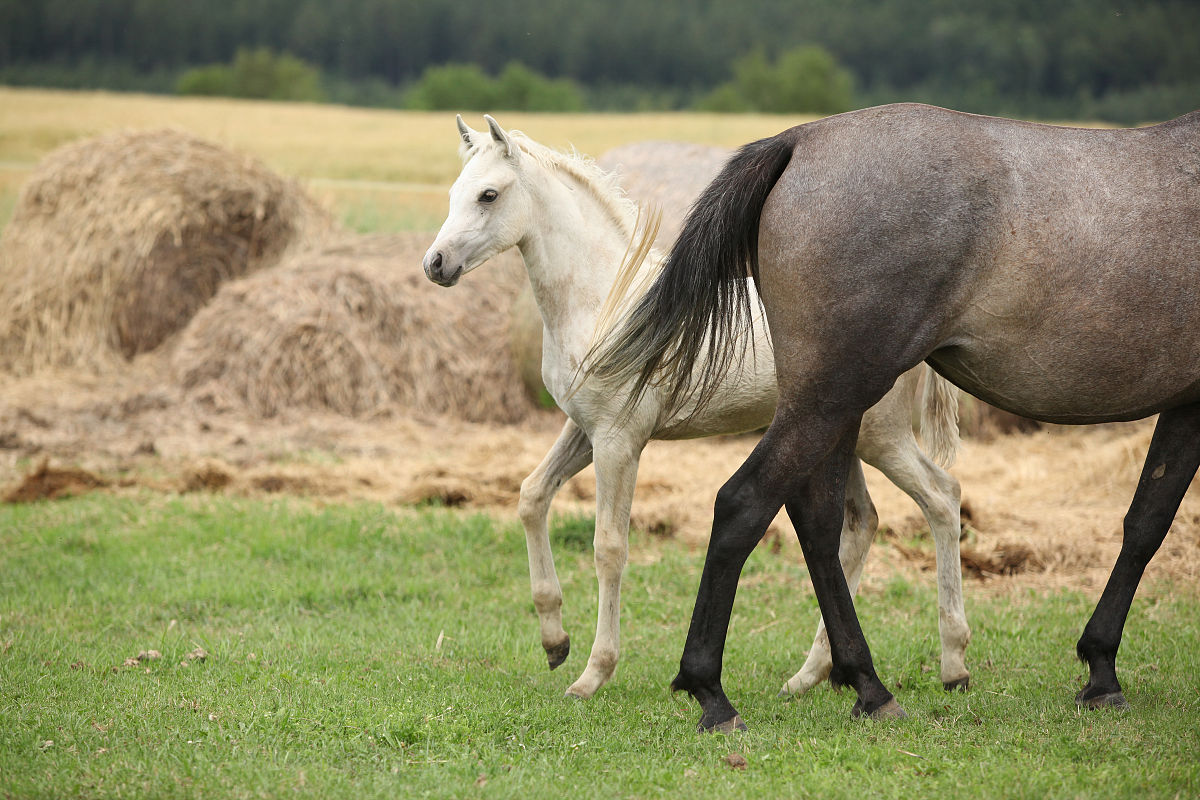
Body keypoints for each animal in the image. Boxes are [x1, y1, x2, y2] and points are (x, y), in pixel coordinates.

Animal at [422, 115, 969, 700]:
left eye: (489, 194)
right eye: (454, 192)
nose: (435, 264)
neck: (606, 299)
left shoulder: (619, 439)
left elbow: (609, 546)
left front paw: (594, 673)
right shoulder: (583, 428)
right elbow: (531, 496)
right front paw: (554, 642)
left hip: (879, 435)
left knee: (941, 496)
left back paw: (953, 662)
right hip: (832, 436)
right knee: (861, 523)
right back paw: (810, 674)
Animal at [586, 102, 1200, 731]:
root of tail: (799, 140)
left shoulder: (1185, 404)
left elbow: (1145, 520)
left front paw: (1099, 666)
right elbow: (1149, 523)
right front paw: (1102, 669)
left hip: (832, 407)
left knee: (819, 521)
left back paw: (867, 684)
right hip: (830, 398)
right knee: (744, 502)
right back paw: (711, 690)